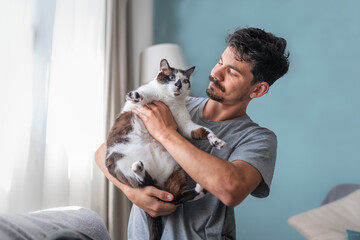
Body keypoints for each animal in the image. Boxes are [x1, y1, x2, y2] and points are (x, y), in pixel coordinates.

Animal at [105, 59, 226, 240]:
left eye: (184, 80)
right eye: (171, 77)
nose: (178, 85)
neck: (168, 101)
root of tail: (157, 183)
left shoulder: (185, 126)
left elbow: (204, 131)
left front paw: (217, 142)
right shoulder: (139, 105)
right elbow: (141, 96)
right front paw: (135, 95)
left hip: (178, 170)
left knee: (172, 198)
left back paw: (200, 189)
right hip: (118, 161)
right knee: (142, 184)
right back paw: (138, 169)